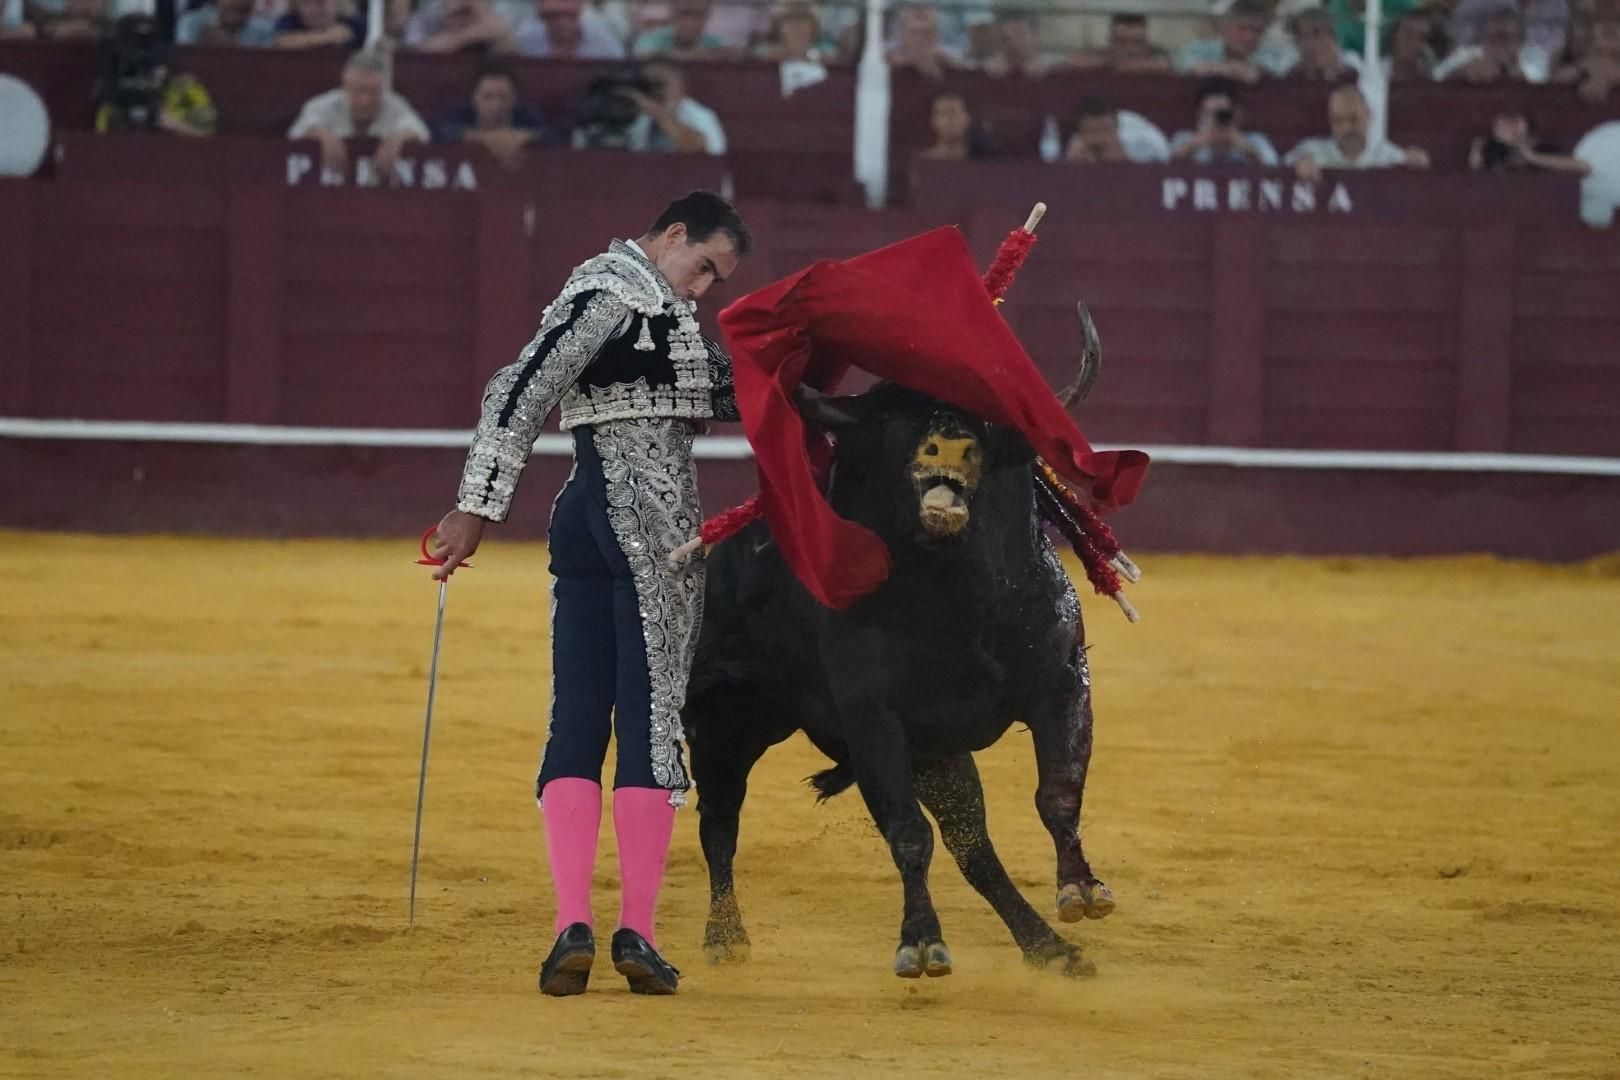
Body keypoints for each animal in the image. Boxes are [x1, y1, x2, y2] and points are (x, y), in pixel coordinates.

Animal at [683, 312, 1114, 977]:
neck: (960, 604)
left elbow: (1058, 793)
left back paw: (1049, 948)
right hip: (725, 722)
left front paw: (1082, 890)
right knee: (720, 823)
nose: (949, 444)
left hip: (937, 755)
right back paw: (725, 937)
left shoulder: (1063, 683)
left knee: (975, 848)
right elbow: (908, 833)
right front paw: (921, 942)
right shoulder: (875, 719)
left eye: (986, 416)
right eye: (895, 421)